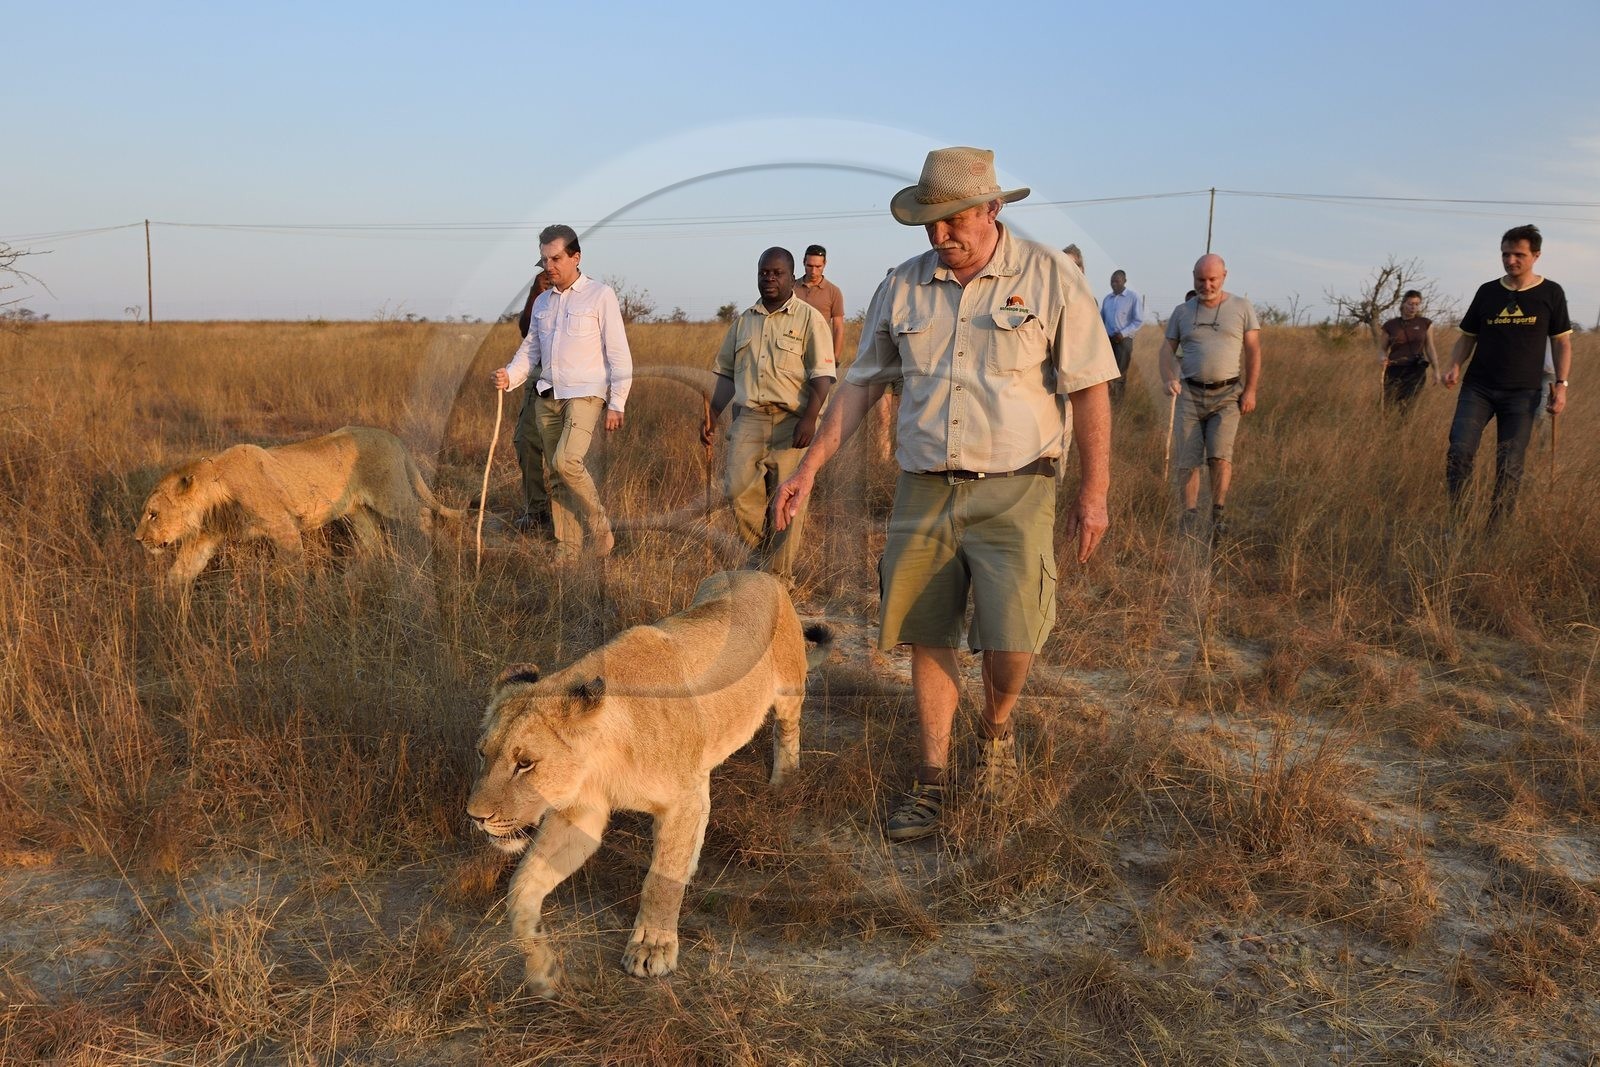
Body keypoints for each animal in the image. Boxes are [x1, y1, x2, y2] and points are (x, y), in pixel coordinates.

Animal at [135, 425, 464, 589]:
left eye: (153, 514)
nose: (137, 540)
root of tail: (393, 437)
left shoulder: (284, 527)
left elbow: (291, 570)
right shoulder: (205, 537)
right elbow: (180, 571)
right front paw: (163, 612)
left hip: (390, 495)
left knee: (424, 514)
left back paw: (444, 553)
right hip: (356, 509)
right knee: (373, 540)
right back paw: (351, 580)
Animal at [467, 569, 833, 993]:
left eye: (525, 764)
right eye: (482, 753)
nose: (475, 817)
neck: (603, 758)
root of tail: (761, 572)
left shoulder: (679, 800)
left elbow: (660, 880)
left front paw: (652, 948)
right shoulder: (582, 815)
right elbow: (522, 887)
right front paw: (541, 968)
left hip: (789, 687)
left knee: (787, 729)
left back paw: (784, 782)